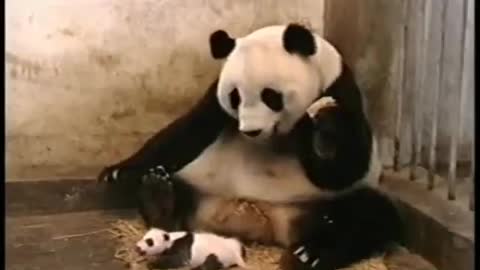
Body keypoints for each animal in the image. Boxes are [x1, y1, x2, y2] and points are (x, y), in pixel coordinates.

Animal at [99, 23, 404, 270]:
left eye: (271, 96)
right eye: (235, 97)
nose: (251, 131)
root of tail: (254, 222)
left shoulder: (341, 90)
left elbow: (345, 166)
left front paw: (322, 131)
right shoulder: (214, 100)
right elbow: (186, 132)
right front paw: (118, 172)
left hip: (312, 204)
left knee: (370, 214)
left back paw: (310, 254)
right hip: (202, 188)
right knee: (173, 190)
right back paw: (159, 196)